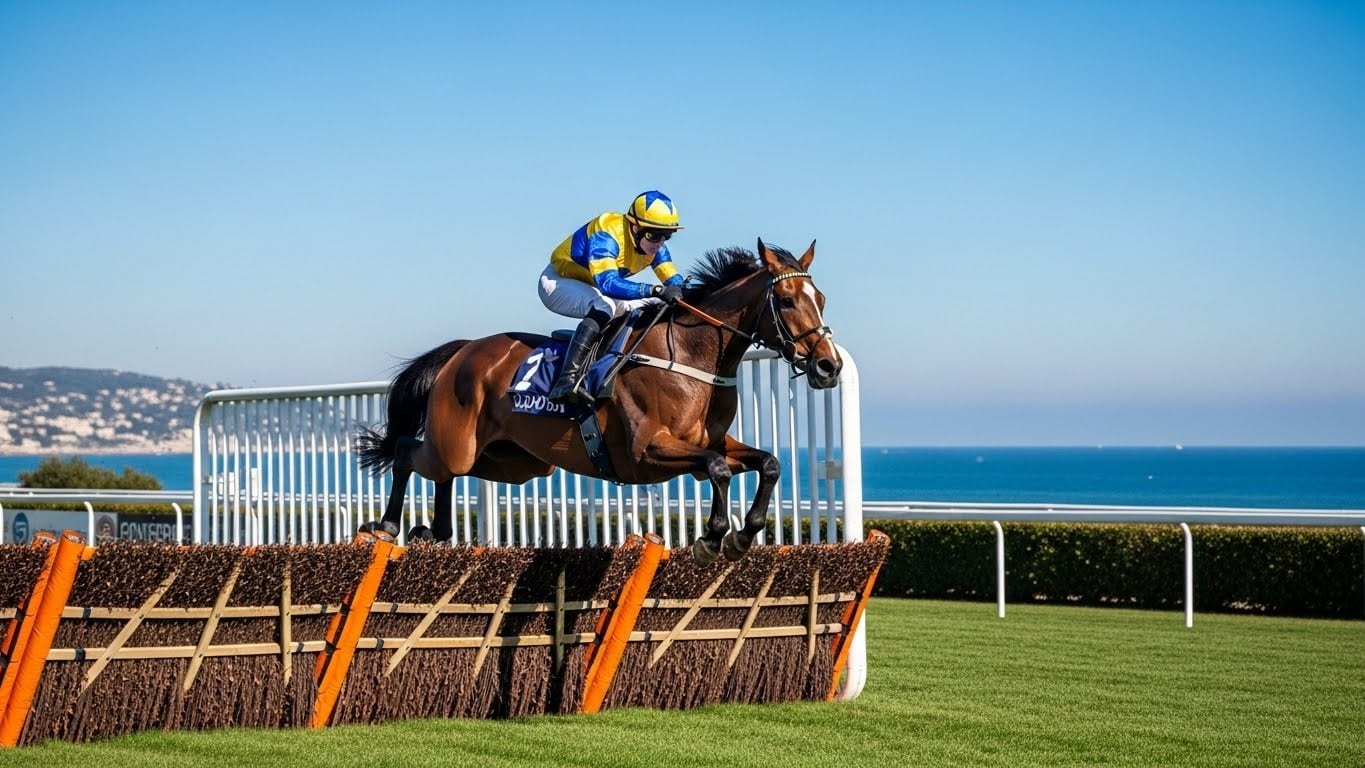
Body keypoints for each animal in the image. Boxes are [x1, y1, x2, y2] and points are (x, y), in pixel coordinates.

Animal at [355, 238, 841, 564]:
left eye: (820, 298)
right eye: (785, 300)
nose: (828, 366)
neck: (688, 355)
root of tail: (461, 351)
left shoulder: (712, 443)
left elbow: (769, 463)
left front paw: (744, 535)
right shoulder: (648, 451)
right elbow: (718, 470)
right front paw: (712, 537)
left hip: (515, 461)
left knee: (447, 474)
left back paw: (434, 529)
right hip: (458, 444)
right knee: (408, 451)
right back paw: (388, 525)